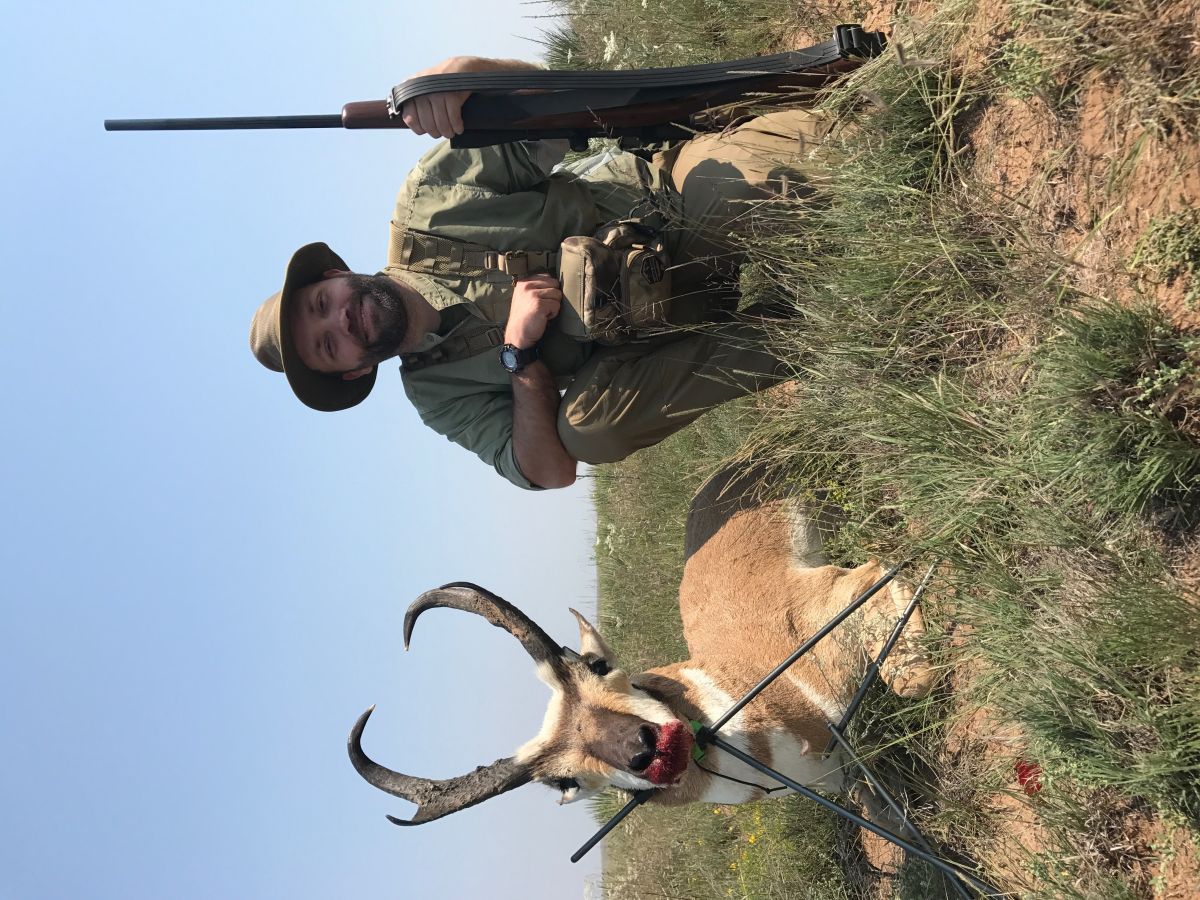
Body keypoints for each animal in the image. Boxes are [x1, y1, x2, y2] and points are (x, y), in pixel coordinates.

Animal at [350, 468, 936, 830]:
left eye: (596, 664)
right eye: (564, 781)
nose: (644, 749)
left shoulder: (832, 608)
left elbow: (894, 607)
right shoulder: (839, 779)